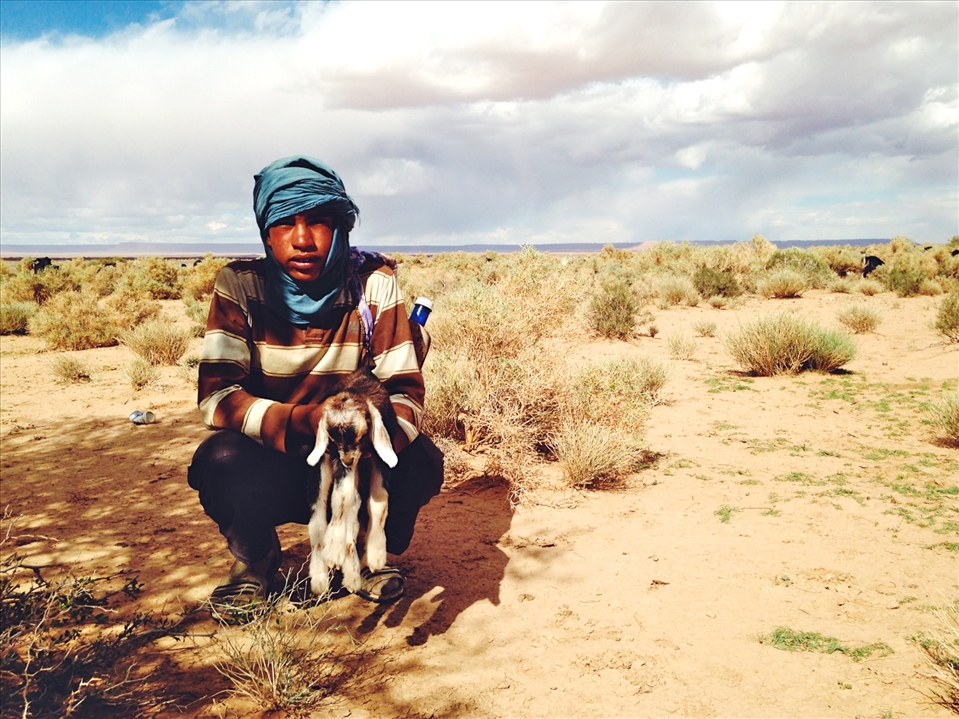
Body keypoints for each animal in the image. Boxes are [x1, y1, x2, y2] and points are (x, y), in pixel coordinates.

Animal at [305, 368, 398, 597]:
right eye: (333, 438)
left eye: (361, 434)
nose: (348, 460)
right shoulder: (339, 460)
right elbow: (340, 499)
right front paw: (334, 549)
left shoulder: (378, 459)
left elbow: (378, 502)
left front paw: (376, 554)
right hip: (321, 468)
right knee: (318, 521)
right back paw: (320, 578)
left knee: (353, 518)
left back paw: (353, 576)